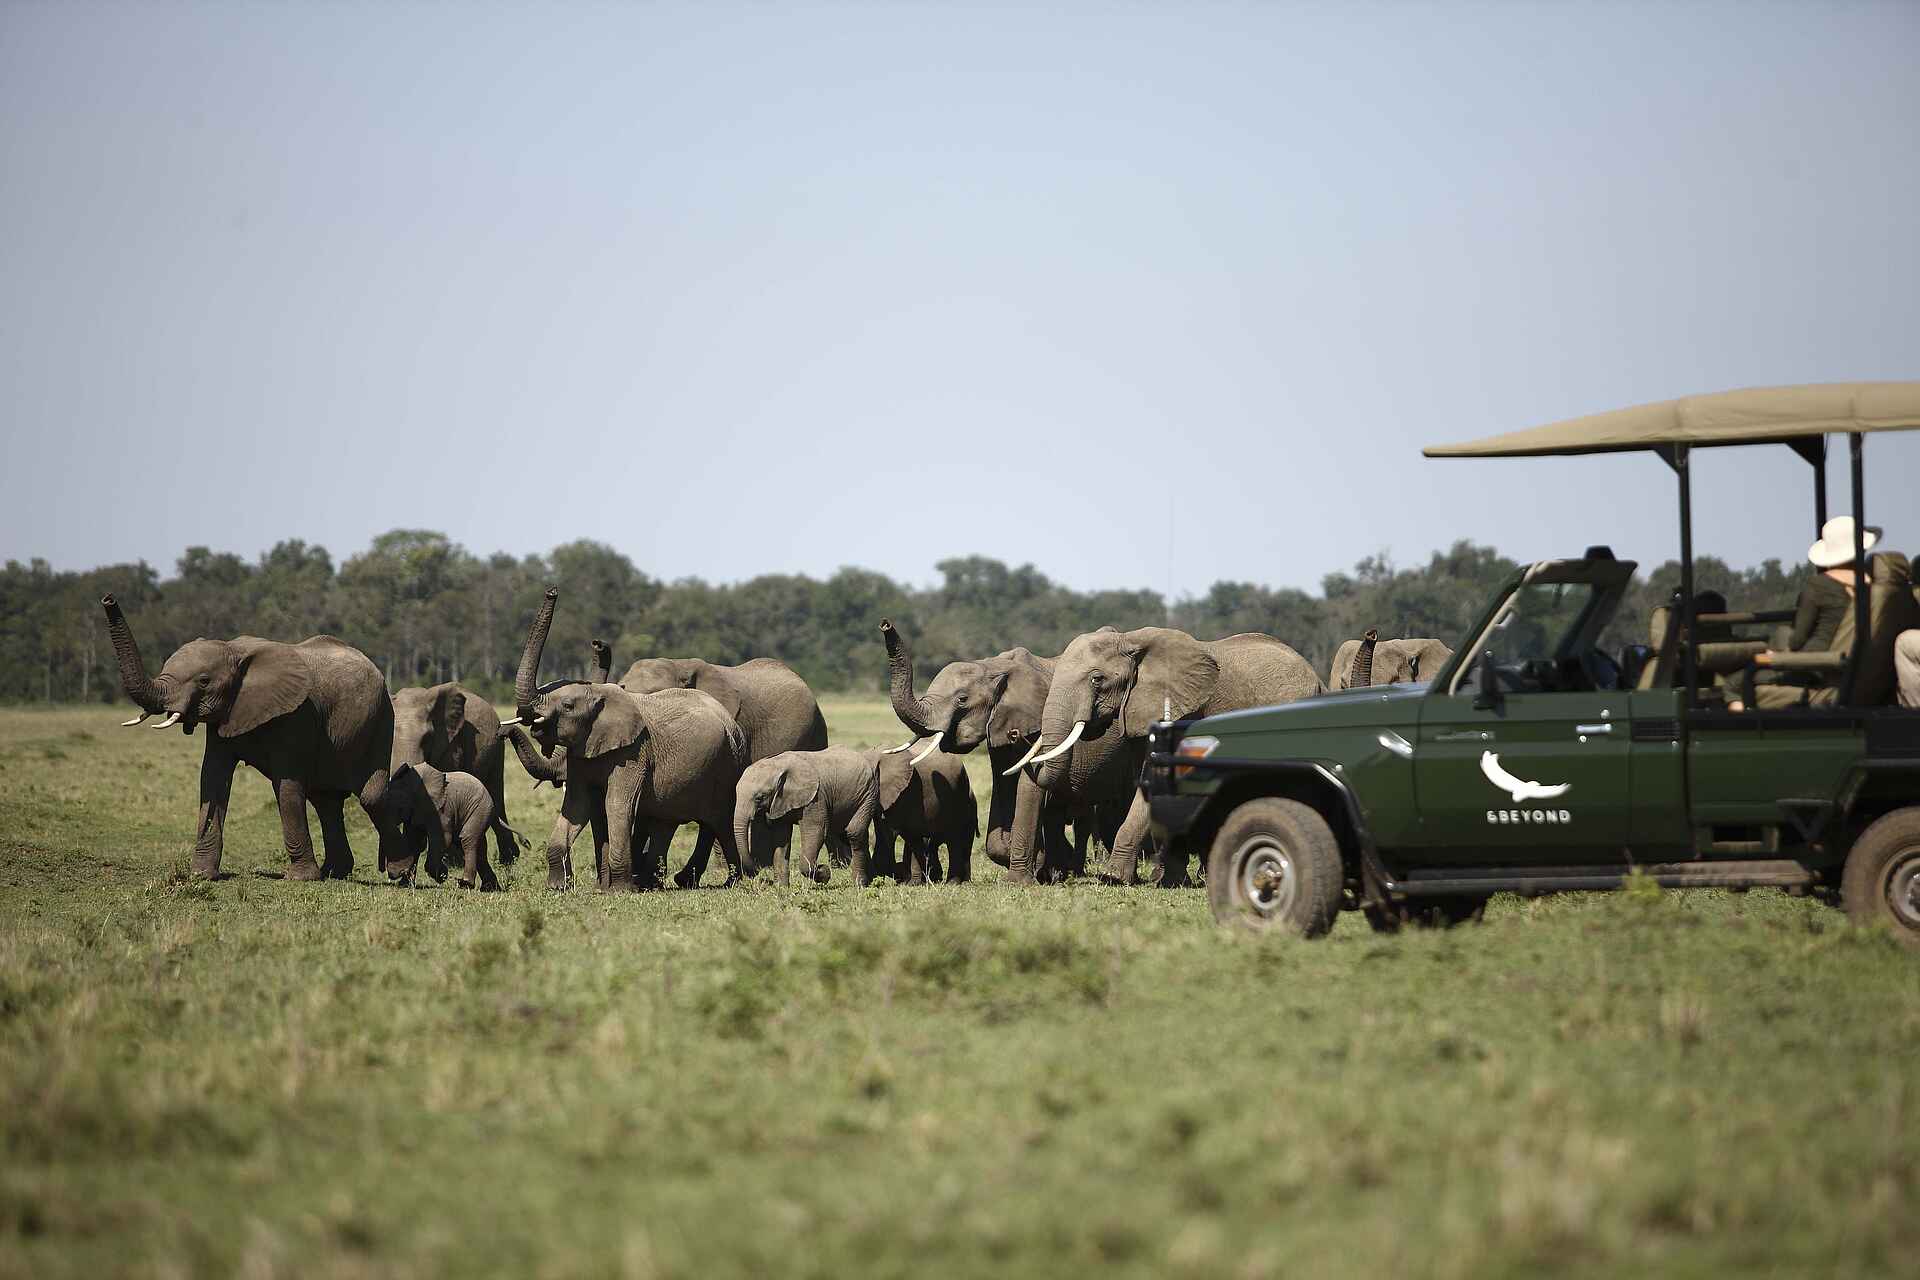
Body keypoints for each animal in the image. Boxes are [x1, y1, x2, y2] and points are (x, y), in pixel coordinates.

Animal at [99, 594, 409, 882]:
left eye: (203, 681)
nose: (108, 599)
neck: (234, 650)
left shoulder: (297, 715)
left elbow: (287, 785)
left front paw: (300, 879)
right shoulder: (227, 715)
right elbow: (212, 777)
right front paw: (201, 875)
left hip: (381, 719)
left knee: (369, 797)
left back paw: (400, 873)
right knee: (325, 801)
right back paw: (335, 872)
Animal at [390, 682, 523, 869]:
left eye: (427, 738)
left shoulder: (450, 746)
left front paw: (452, 862)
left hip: (497, 748)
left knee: (495, 791)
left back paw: (508, 859)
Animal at [504, 589, 749, 892]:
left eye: (568, 706)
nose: (552, 591)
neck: (602, 695)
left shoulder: (633, 753)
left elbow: (617, 805)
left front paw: (619, 891)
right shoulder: (583, 754)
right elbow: (576, 806)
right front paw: (557, 888)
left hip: (729, 763)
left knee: (719, 820)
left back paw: (732, 881)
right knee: (672, 819)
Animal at [730, 747, 878, 887]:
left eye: (759, 798)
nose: (757, 871)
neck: (778, 764)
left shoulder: (816, 798)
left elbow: (816, 831)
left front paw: (824, 873)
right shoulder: (779, 801)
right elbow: (781, 837)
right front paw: (781, 887)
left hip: (867, 794)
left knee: (854, 833)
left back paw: (860, 884)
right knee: (849, 834)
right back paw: (869, 880)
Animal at [1011, 627, 1324, 886]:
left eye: (1097, 679)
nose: (1016, 735)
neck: (1130, 640)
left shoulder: (1186, 713)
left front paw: (1113, 877)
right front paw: (1164, 880)